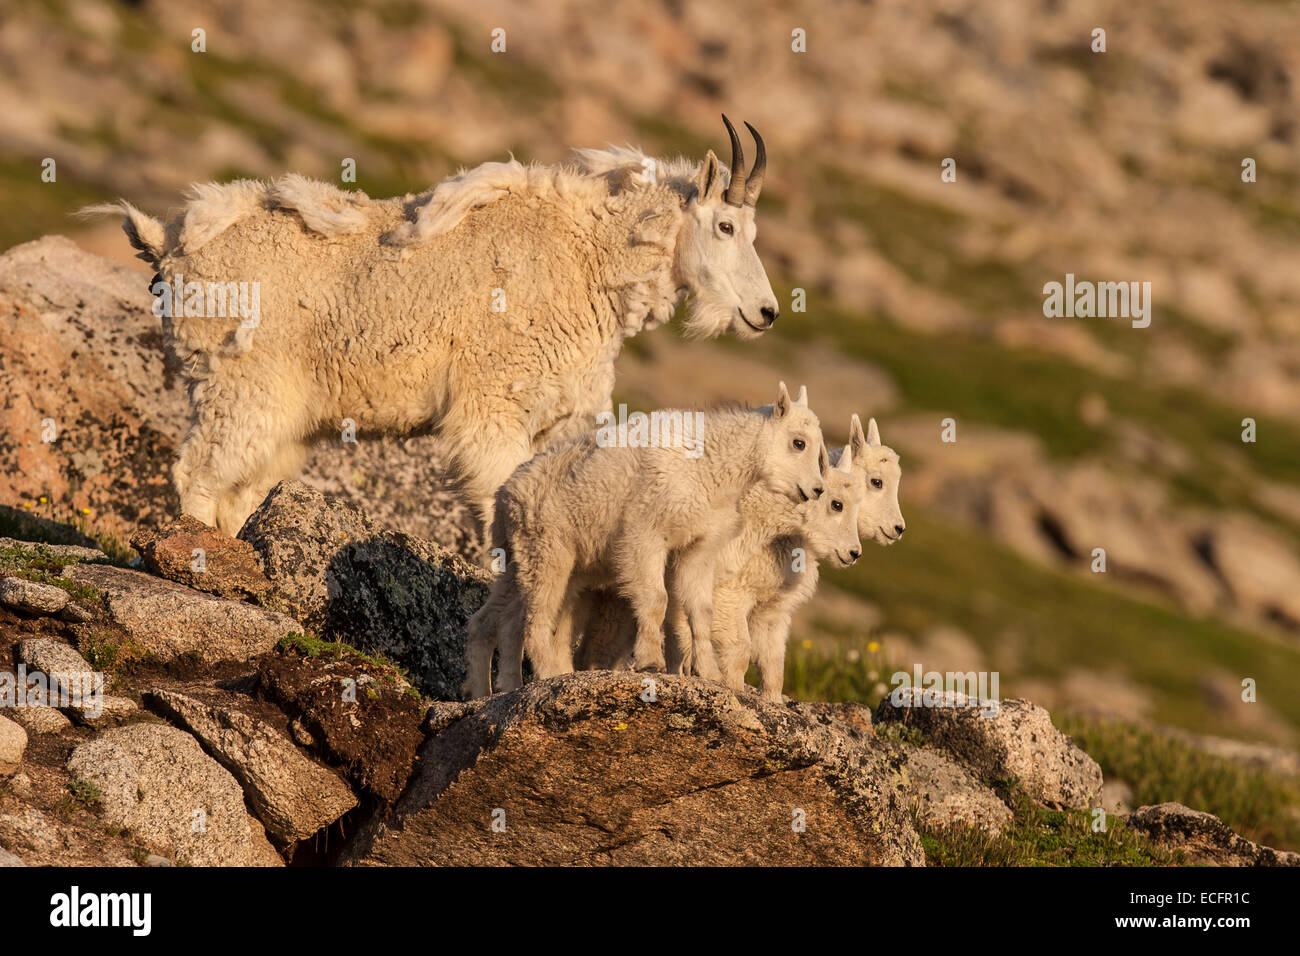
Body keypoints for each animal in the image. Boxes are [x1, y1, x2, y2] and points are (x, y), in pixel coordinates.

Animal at [86, 115, 774, 535]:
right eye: (726, 226)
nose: (766, 312)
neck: (588, 257)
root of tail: (168, 244)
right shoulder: (492, 405)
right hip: (239, 382)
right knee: (198, 472)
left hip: (283, 411)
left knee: (241, 485)